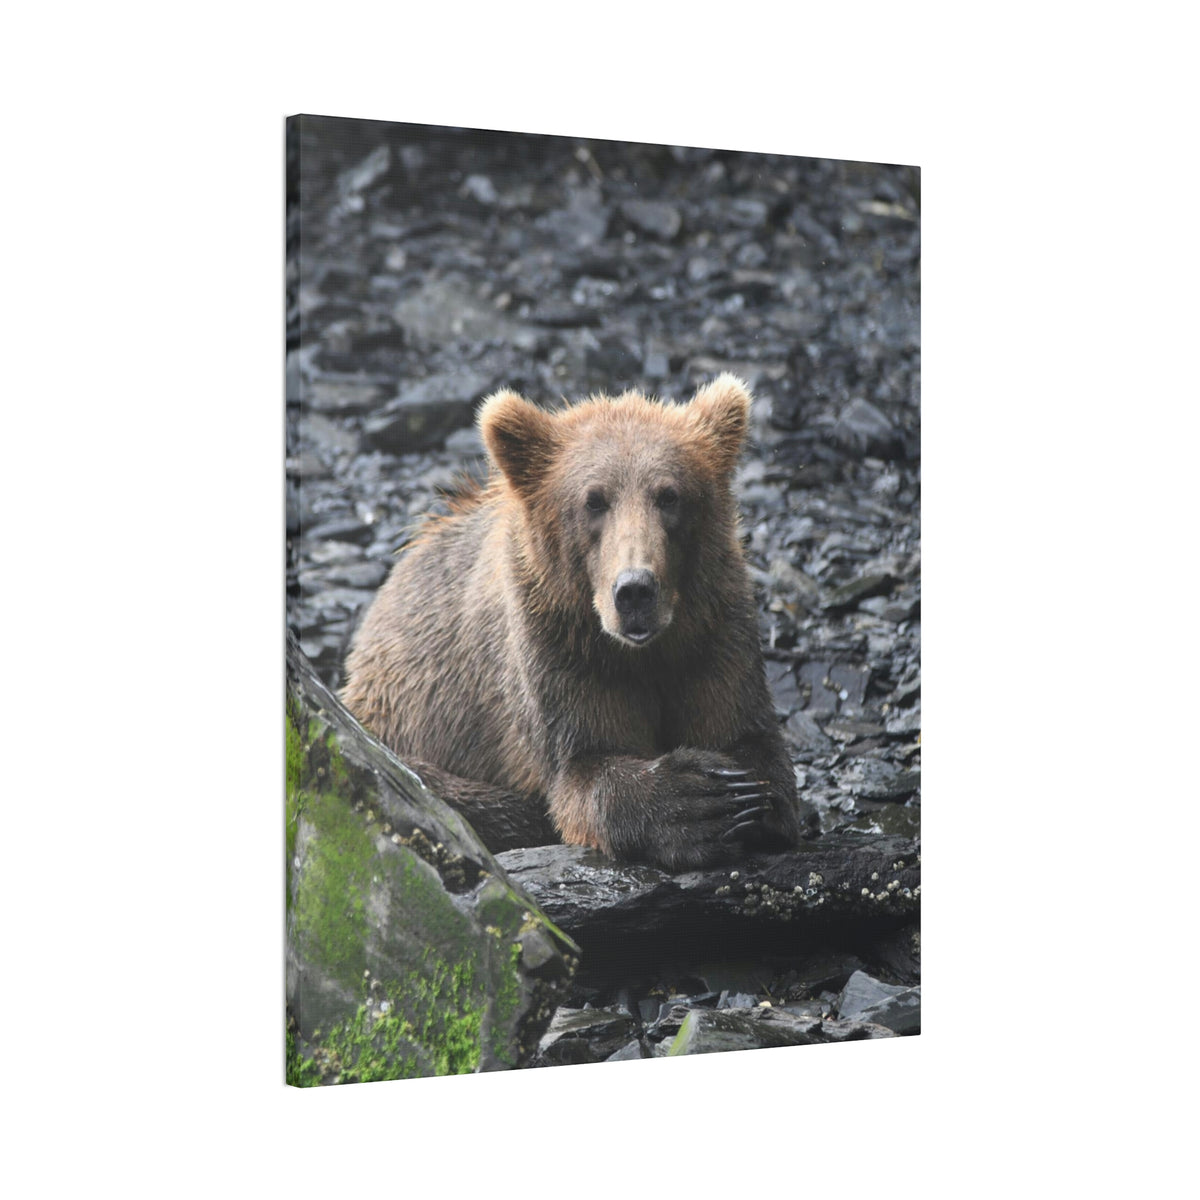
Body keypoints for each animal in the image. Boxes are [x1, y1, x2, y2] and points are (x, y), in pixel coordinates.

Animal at [341, 374, 803, 871]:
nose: (635, 590)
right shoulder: (557, 649)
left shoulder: (713, 631)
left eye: (669, 495)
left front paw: (746, 797)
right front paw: (699, 801)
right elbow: (585, 767)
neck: (643, 652)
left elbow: (747, 735)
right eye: (594, 500)